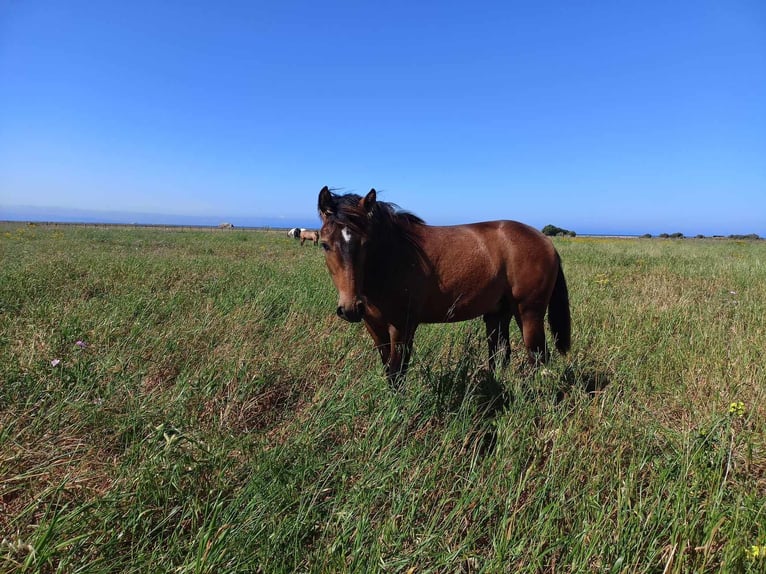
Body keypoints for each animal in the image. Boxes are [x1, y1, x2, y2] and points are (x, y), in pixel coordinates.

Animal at [316, 187, 568, 390]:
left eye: (366, 244)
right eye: (325, 244)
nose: (350, 308)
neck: (394, 256)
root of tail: (546, 241)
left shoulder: (402, 327)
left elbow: (398, 373)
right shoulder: (374, 326)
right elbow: (389, 371)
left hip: (528, 313)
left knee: (537, 357)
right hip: (498, 313)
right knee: (500, 355)